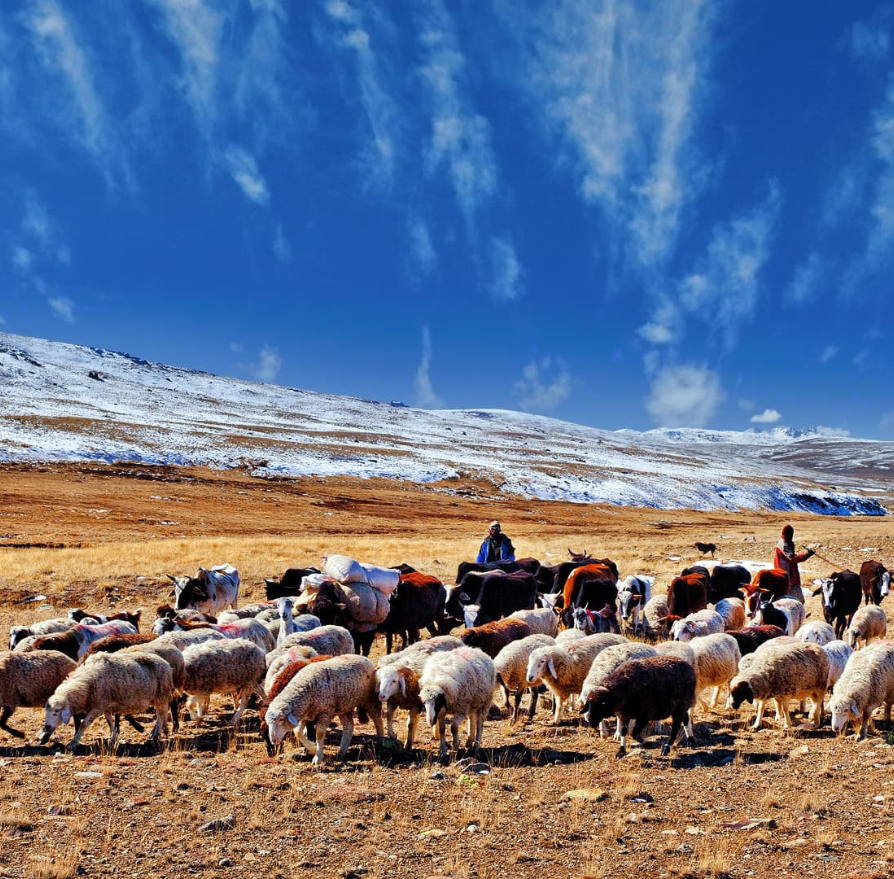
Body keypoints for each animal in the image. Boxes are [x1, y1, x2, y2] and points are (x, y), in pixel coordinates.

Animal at [38, 652, 175, 748]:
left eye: (56, 712)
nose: (47, 727)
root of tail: (166, 663)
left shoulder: (98, 706)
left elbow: (83, 724)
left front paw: (73, 743)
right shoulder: (106, 706)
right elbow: (110, 723)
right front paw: (113, 739)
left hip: (161, 696)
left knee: (161, 716)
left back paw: (155, 736)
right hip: (156, 698)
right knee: (160, 715)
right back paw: (156, 733)